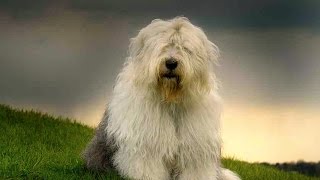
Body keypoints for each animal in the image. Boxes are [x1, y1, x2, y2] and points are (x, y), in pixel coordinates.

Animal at [83, 16, 240, 180]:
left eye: (185, 48)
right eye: (162, 47)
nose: (171, 63)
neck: (171, 99)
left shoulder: (195, 146)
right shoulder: (147, 144)